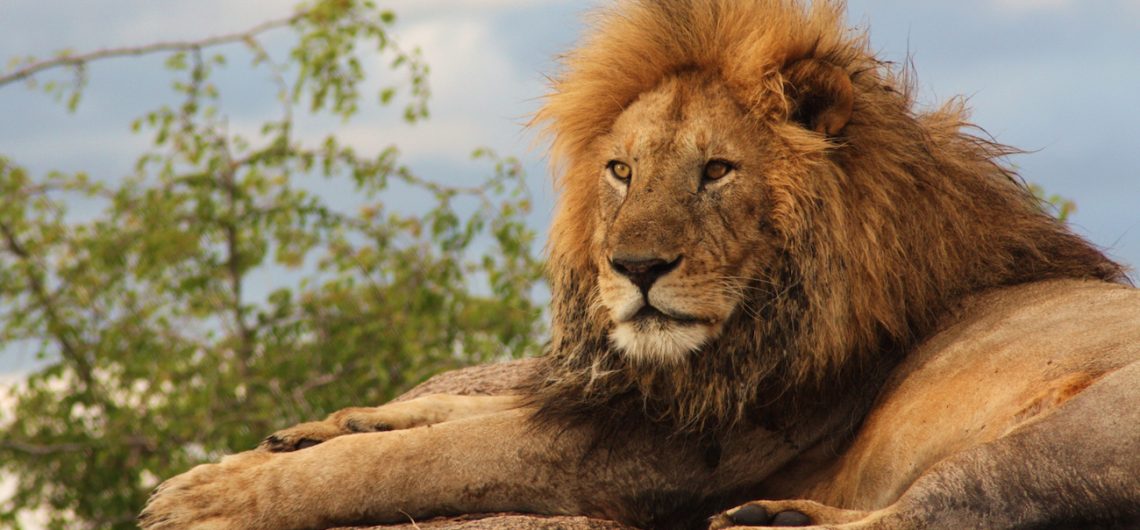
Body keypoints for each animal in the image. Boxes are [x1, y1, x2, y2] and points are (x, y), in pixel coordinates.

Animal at [142, 1, 1140, 528]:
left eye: (717, 170)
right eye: (621, 171)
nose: (635, 268)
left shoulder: (658, 459)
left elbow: (421, 463)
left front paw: (209, 492)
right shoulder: (623, 397)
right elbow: (462, 408)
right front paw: (329, 423)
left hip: (1069, 430)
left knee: (951, 508)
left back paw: (771, 520)